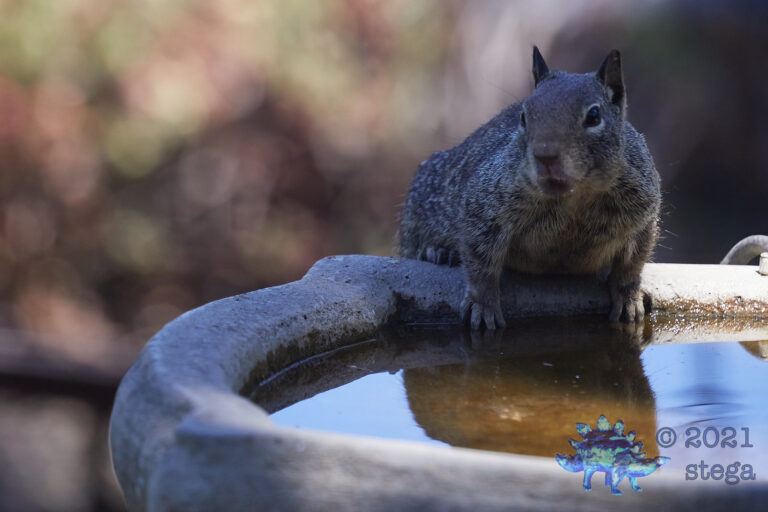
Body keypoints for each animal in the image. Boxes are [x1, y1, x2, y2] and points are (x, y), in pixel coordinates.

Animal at [399, 47, 661, 330]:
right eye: (523, 116)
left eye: (593, 116)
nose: (545, 156)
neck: (575, 198)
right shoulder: (484, 207)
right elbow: (481, 262)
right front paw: (483, 305)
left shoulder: (642, 216)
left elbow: (631, 265)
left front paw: (629, 299)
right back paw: (437, 251)